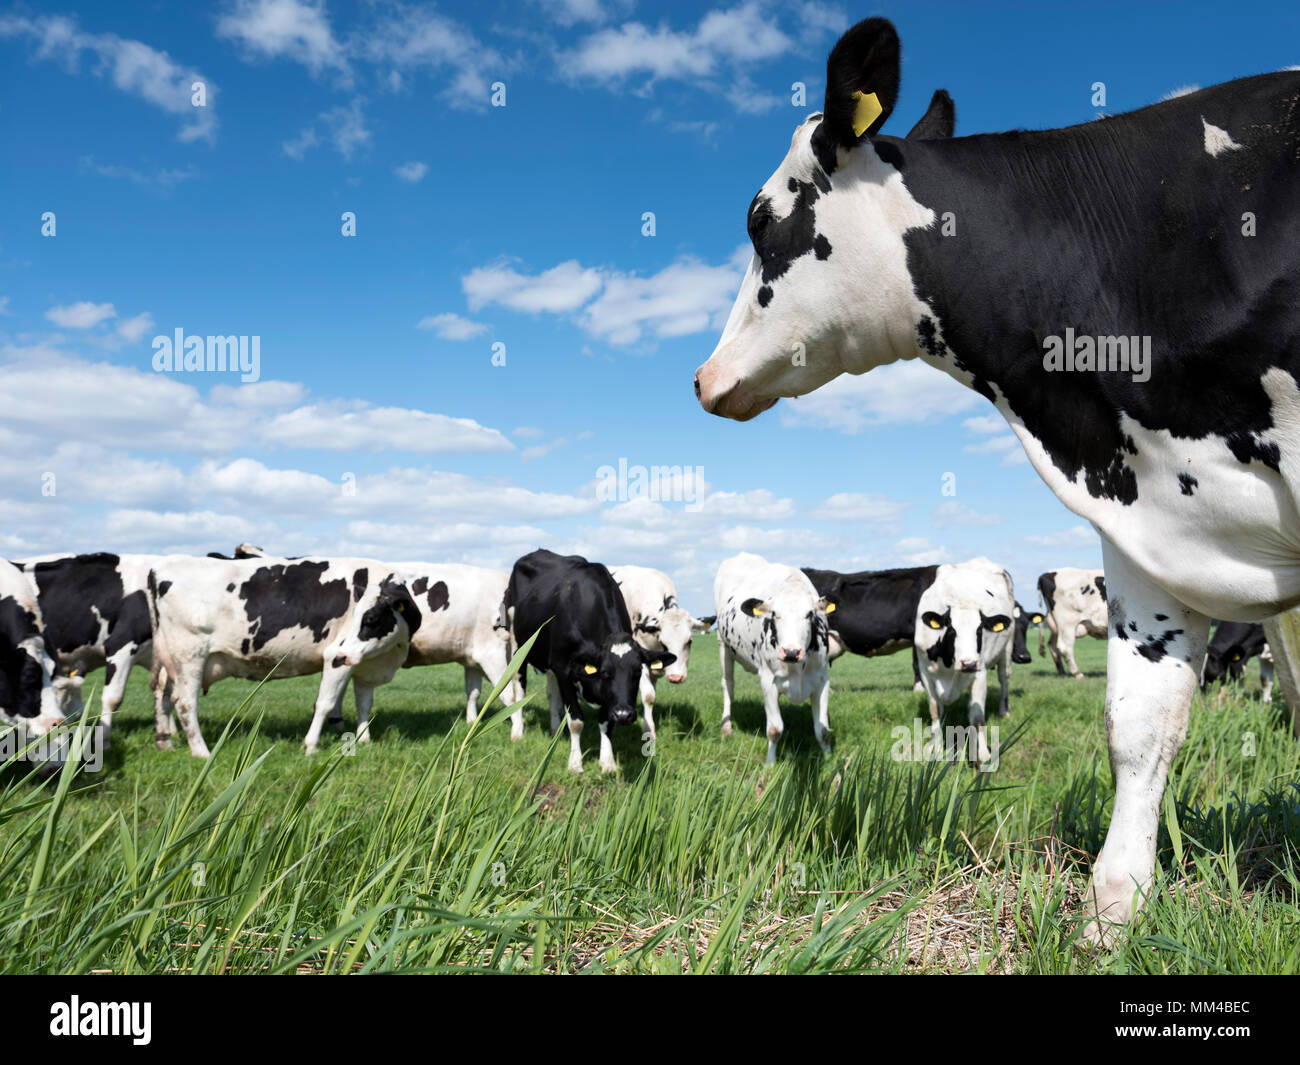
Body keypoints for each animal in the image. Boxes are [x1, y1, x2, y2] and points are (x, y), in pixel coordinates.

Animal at [146, 555, 422, 757]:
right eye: (358, 616)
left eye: (371, 619)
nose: (345, 653)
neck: (389, 655)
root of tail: (160, 567)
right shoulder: (335, 657)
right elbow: (324, 703)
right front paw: (310, 746)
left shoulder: (365, 664)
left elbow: (364, 704)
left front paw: (364, 740)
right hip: (189, 655)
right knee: (185, 702)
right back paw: (201, 752)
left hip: (170, 659)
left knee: (163, 693)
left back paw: (164, 742)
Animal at [505, 550, 673, 774]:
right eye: (605, 672)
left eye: (638, 671)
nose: (624, 715)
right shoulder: (563, 668)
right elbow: (576, 720)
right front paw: (575, 764)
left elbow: (605, 722)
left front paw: (608, 763)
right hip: (518, 647)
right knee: (520, 688)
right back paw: (517, 732)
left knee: (551, 693)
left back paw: (555, 729)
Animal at [714, 552, 831, 763]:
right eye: (775, 614)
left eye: (809, 614)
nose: (791, 652)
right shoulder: (768, 681)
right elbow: (774, 730)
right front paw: (770, 763)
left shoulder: (822, 679)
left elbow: (823, 730)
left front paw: (829, 760)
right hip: (723, 645)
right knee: (728, 684)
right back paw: (726, 726)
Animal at [914, 559, 1016, 767]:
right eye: (952, 630)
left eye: (980, 630)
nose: (968, 663)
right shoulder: (925, 671)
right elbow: (935, 711)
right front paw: (936, 749)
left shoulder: (980, 672)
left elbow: (977, 717)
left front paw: (983, 755)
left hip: (1007, 648)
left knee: (1004, 678)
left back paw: (1004, 710)